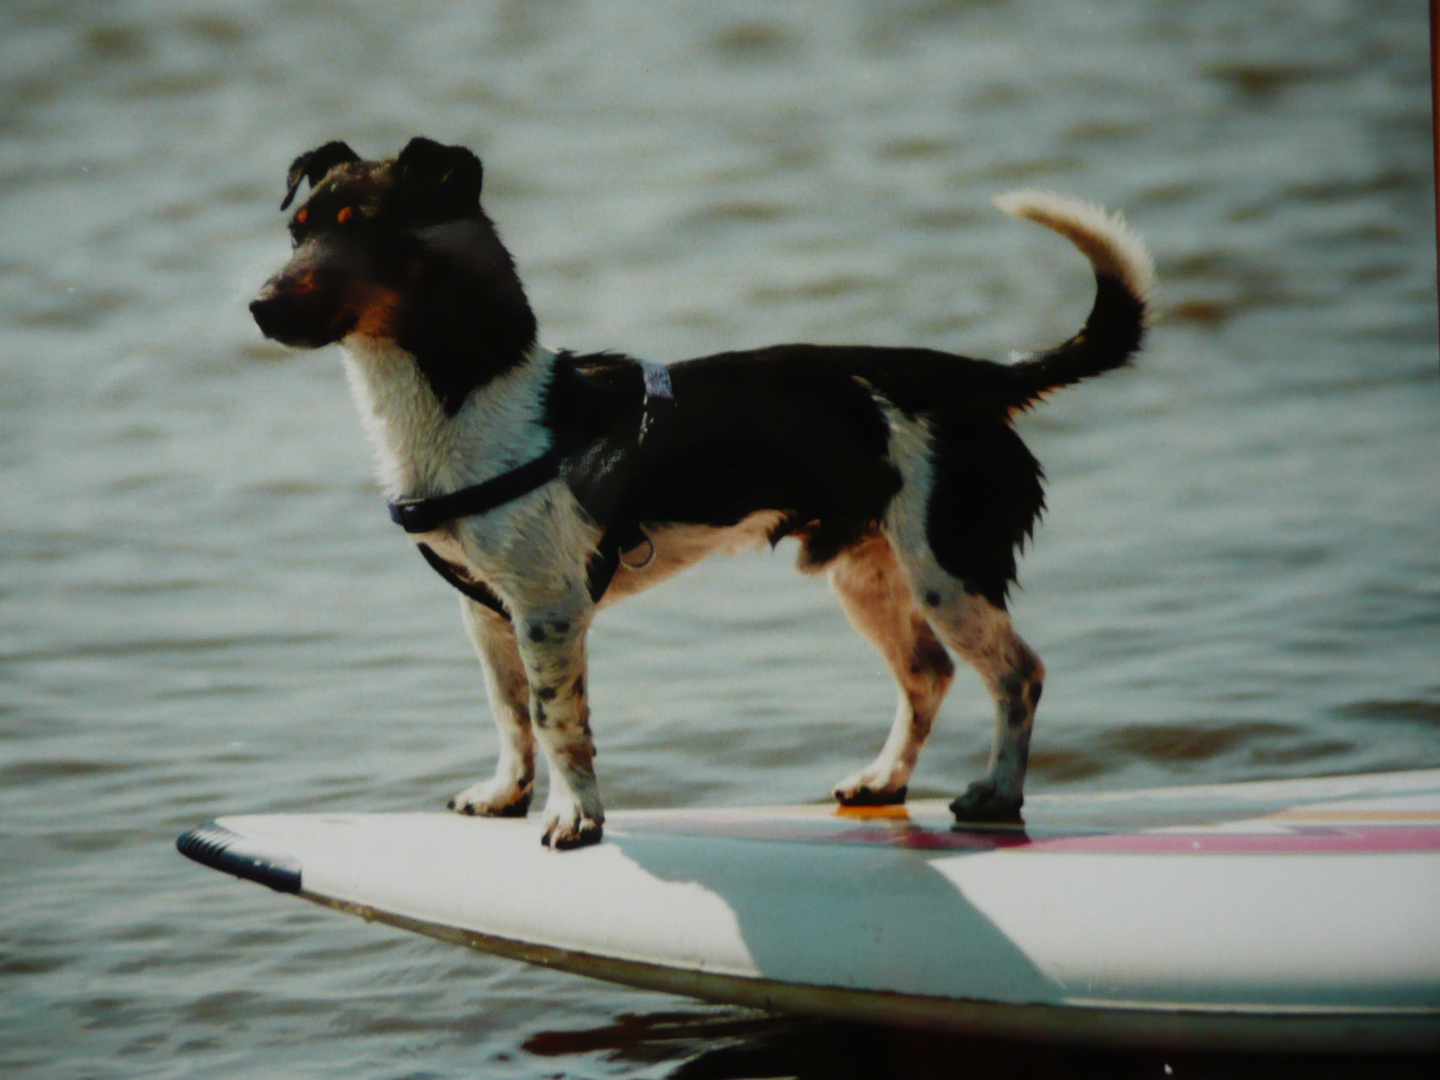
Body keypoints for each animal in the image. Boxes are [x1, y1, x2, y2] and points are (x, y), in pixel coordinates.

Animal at [247, 135, 1146, 852]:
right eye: (297, 231)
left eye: (363, 227)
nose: (256, 306)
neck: (467, 403)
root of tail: (982, 380)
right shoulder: (485, 610)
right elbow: (510, 715)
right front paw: (504, 796)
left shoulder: (548, 610)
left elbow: (557, 720)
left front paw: (574, 817)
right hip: (868, 573)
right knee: (927, 675)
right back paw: (885, 779)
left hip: (948, 570)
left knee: (1018, 675)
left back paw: (998, 792)